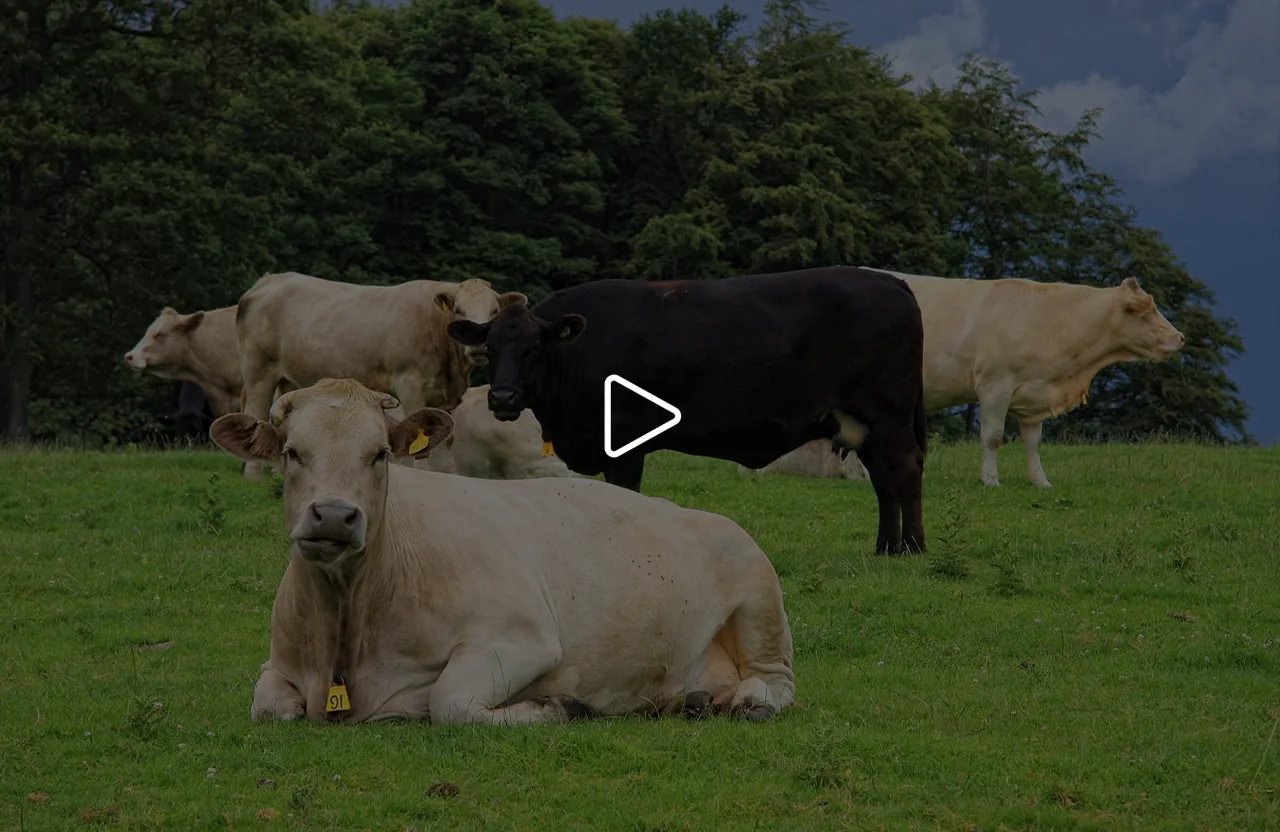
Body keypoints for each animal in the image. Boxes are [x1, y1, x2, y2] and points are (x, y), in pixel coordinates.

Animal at [235, 273, 526, 479]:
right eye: (459, 311)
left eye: (494, 312)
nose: (478, 347)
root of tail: (269, 280)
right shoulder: (411, 384)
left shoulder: (445, 399)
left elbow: (443, 441)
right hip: (259, 371)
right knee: (256, 411)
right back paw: (253, 475)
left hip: (287, 378)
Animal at [863, 269, 1186, 487]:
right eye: (1148, 311)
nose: (1180, 337)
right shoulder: (994, 386)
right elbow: (993, 437)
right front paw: (990, 479)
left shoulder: (1034, 394)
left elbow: (1033, 442)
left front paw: (1040, 481)